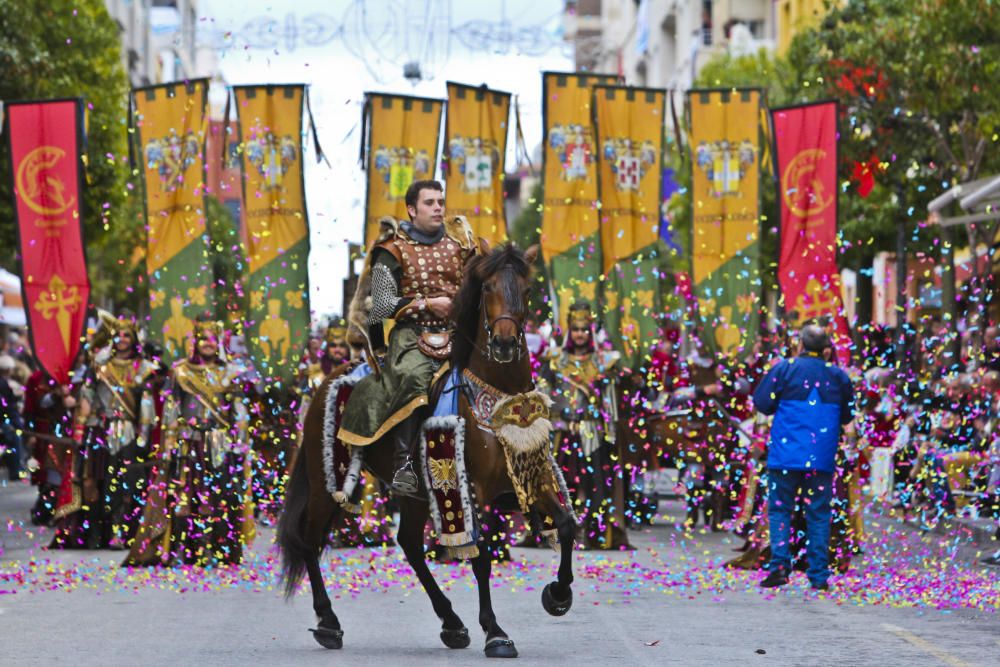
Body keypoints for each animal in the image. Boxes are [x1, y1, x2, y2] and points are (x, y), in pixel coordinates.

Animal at [276, 244, 580, 656]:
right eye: (487, 288)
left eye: (528, 289)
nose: (503, 344)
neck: (499, 401)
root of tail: (327, 380)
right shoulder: (469, 489)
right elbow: (481, 557)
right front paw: (496, 633)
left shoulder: (530, 480)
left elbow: (565, 524)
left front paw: (558, 595)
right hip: (328, 480)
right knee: (309, 539)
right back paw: (328, 622)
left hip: (415, 495)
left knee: (409, 544)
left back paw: (451, 623)